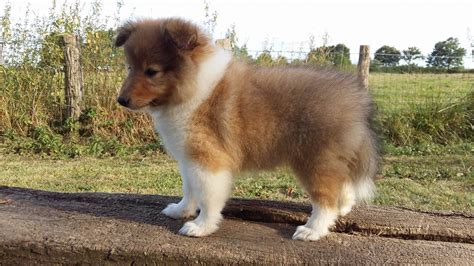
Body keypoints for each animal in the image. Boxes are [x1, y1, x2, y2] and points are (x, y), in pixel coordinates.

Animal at [115, 17, 378, 241]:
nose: (121, 100)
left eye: (152, 71)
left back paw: (312, 230)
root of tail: (356, 100)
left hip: (316, 160)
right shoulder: (189, 158)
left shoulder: (207, 158)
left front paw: (201, 226)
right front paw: (181, 210)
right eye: (129, 67)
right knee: (342, 186)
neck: (193, 87)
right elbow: (189, 189)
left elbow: (207, 196)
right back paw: (342, 207)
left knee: (326, 199)